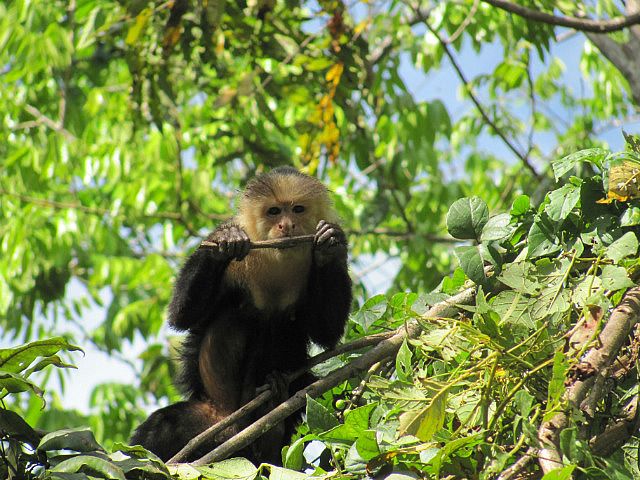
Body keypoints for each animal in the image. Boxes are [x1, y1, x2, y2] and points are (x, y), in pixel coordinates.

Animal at [128, 167, 352, 464]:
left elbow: (326, 333)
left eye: (297, 210)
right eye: (274, 212)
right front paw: (225, 240)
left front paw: (330, 243)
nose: (286, 226)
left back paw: (273, 405)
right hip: (209, 423)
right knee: (162, 426)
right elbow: (182, 316)